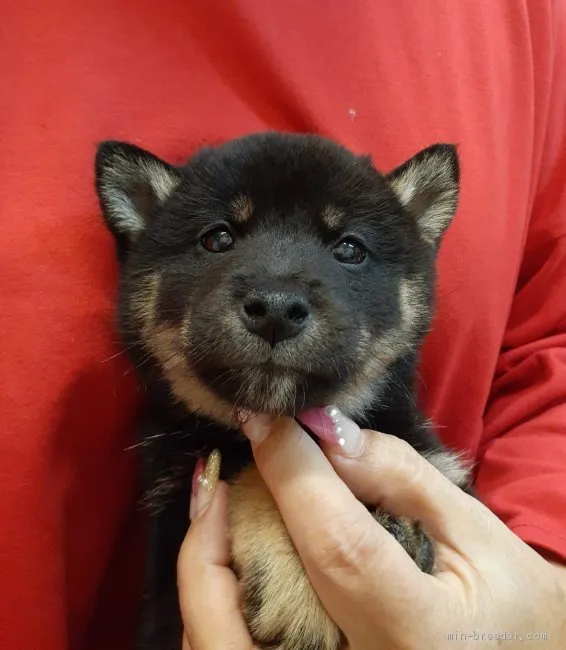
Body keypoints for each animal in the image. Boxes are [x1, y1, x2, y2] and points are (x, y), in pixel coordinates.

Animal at [95, 132, 472, 648]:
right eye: (218, 238)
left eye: (350, 248)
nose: (275, 309)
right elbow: (251, 470)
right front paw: (293, 590)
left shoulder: (438, 465)